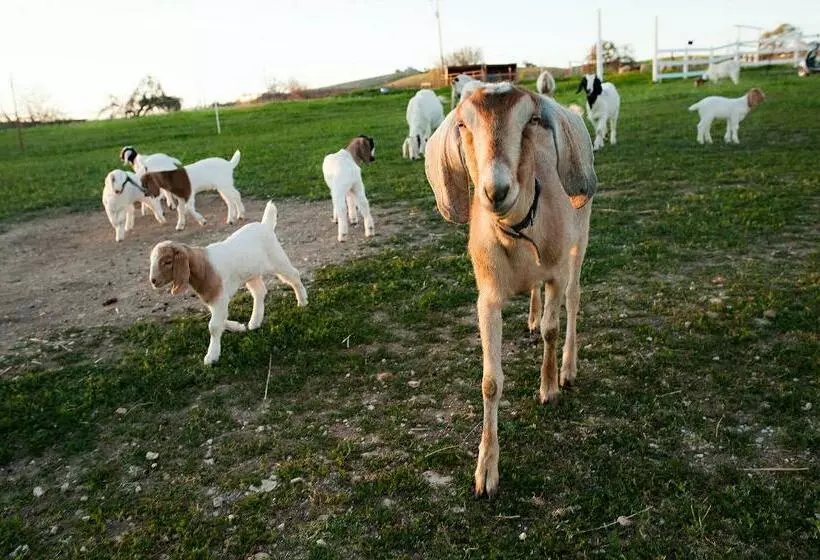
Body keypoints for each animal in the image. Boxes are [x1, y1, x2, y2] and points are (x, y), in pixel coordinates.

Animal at [149, 201, 307, 365]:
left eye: (167, 262)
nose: (153, 281)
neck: (204, 267)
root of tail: (265, 225)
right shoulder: (213, 299)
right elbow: (221, 319)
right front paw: (238, 327)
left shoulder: (219, 298)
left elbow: (213, 326)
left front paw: (211, 357)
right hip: (251, 273)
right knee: (259, 292)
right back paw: (254, 322)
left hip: (277, 259)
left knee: (293, 275)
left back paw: (302, 301)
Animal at [425, 82, 597, 497]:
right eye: (463, 124)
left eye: (532, 120)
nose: (496, 190)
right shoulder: (486, 298)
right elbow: (490, 382)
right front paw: (486, 472)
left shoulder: (555, 273)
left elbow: (552, 328)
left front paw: (549, 388)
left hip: (580, 239)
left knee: (573, 301)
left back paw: (568, 368)